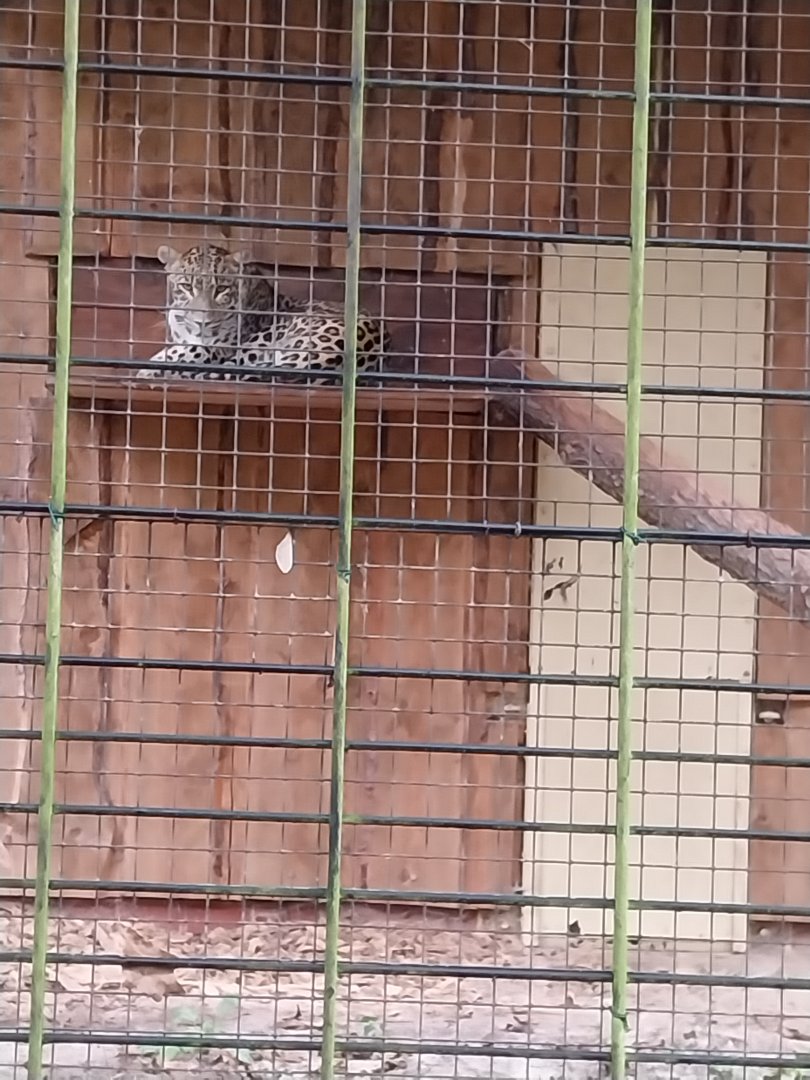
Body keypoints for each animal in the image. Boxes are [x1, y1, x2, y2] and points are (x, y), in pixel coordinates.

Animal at [136, 244, 390, 385]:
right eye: (187, 287)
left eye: (221, 289)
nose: (203, 322)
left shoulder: (224, 346)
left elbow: (189, 351)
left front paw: (149, 369)